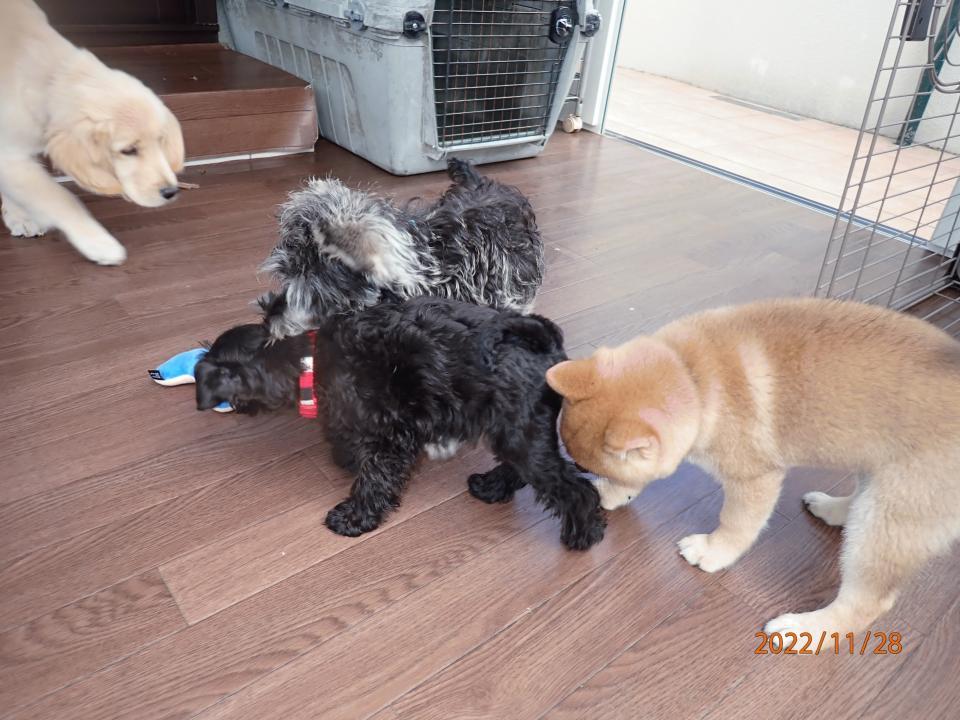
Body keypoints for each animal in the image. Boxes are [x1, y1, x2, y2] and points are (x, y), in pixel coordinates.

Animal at [0, 0, 185, 265]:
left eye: (160, 141)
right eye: (128, 150)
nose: (171, 192)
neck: (52, 76)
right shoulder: (8, 155)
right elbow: (59, 198)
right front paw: (100, 244)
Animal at [196, 298, 606, 550]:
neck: (309, 360)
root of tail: (545, 343)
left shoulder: (390, 438)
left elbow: (375, 478)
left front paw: (354, 516)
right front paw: (346, 457)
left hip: (521, 432)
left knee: (574, 488)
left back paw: (584, 534)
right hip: (511, 429)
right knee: (520, 469)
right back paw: (491, 487)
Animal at [547, 298, 960, 633]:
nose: (586, 480)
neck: (694, 377)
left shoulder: (754, 479)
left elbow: (736, 524)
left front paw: (713, 551)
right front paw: (611, 493)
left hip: (894, 516)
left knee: (867, 602)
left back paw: (806, 629)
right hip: (875, 469)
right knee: (861, 498)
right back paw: (834, 509)